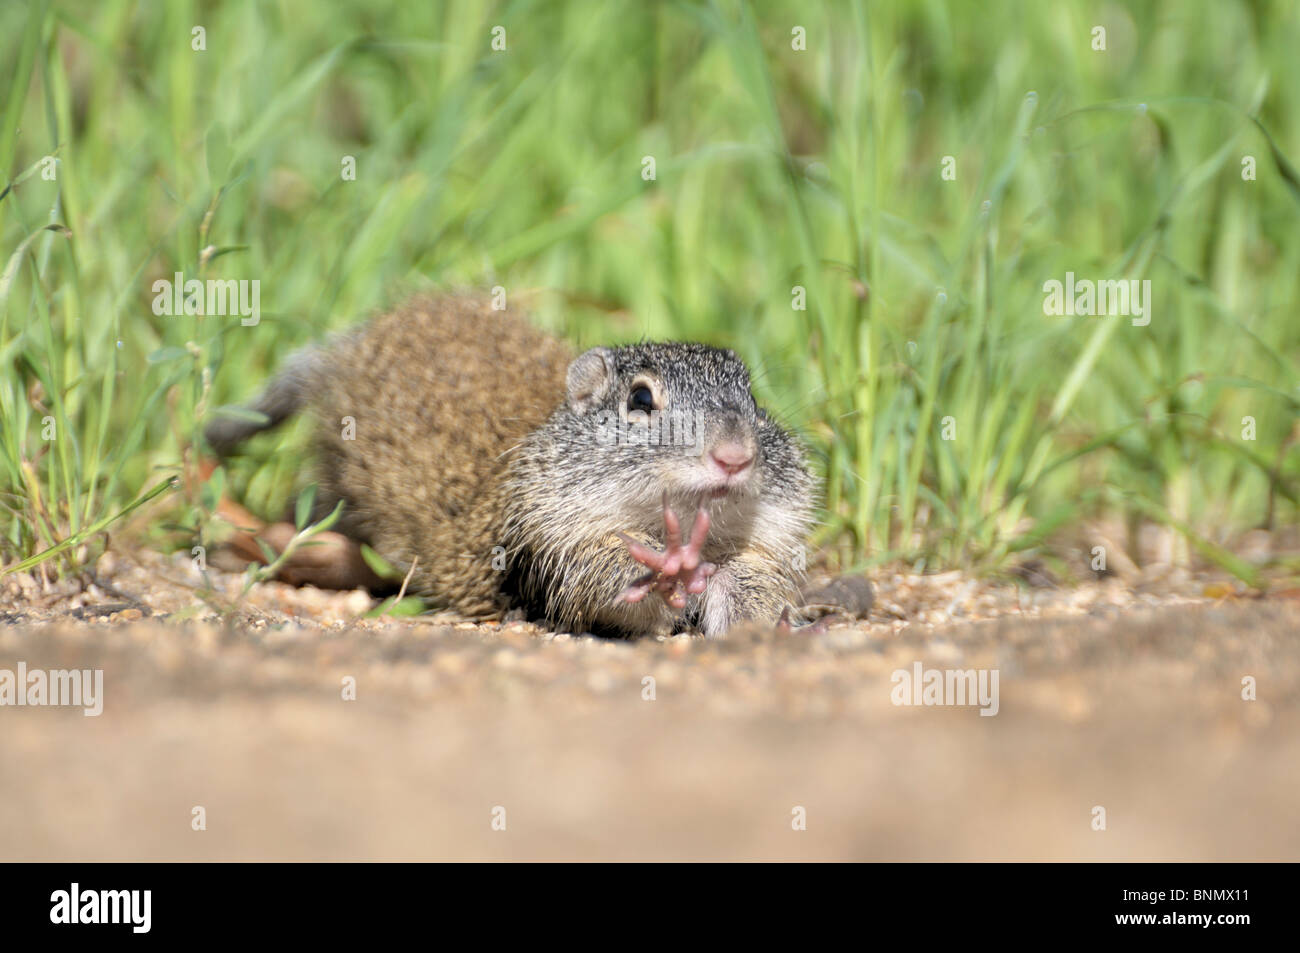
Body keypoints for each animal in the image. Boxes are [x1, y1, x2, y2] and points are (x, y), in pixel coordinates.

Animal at [205, 294, 815, 637]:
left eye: (752, 399)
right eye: (640, 400)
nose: (735, 456)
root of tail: (344, 351)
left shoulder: (759, 549)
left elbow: (752, 587)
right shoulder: (559, 553)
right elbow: (608, 587)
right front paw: (664, 573)